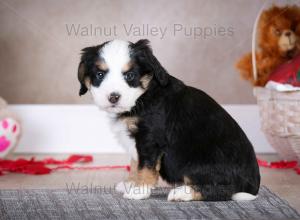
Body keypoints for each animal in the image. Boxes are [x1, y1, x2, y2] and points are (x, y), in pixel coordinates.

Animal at [77, 39, 260, 201]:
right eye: (99, 75)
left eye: (130, 75)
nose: (113, 97)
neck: (144, 96)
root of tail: (253, 186)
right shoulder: (137, 142)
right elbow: (135, 162)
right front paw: (130, 184)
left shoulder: (150, 139)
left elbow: (145, 166)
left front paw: (139, 190)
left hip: (200, 160)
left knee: (221, 190)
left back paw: (182, 193)